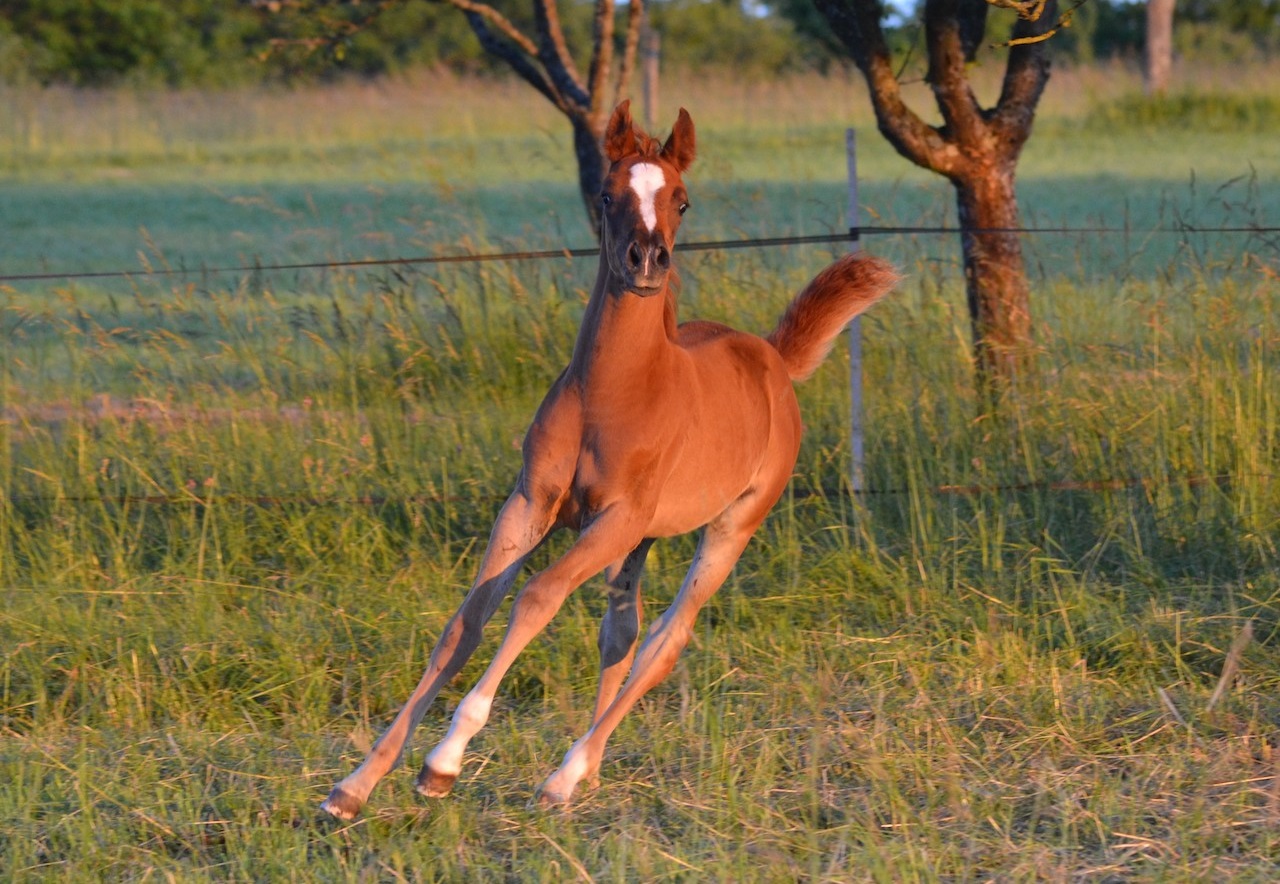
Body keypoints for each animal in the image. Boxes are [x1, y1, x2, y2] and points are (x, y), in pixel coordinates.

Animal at [322, 100, 901, 818]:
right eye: (606, 193)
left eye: (682, 200)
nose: (647, 260)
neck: (615, 393)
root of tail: (770, 356)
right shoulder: (530, 504)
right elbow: (466, 623)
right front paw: (355, 786)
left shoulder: (615, 518)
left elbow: (537, 597)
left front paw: (444, 760)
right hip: (642, 540)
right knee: (621, 633)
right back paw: (584, 773)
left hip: (731, 527)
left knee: (666, 641)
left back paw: (564, 775)